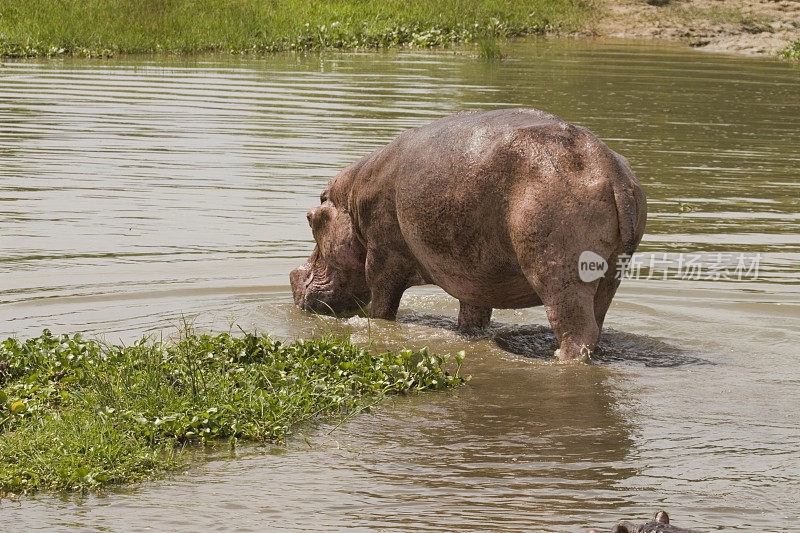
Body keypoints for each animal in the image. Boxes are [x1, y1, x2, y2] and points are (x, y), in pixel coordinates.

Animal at [290, 108, 648, 360]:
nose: (293, 279)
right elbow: (472, 315)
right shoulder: (472, 273)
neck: (349, 201)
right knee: (597, 323)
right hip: (610, 274)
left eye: (309, 219)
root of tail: (612, 173)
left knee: (578, 332)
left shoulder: (383, 258)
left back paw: (558, 357)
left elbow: (382, 307)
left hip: (559, 274)